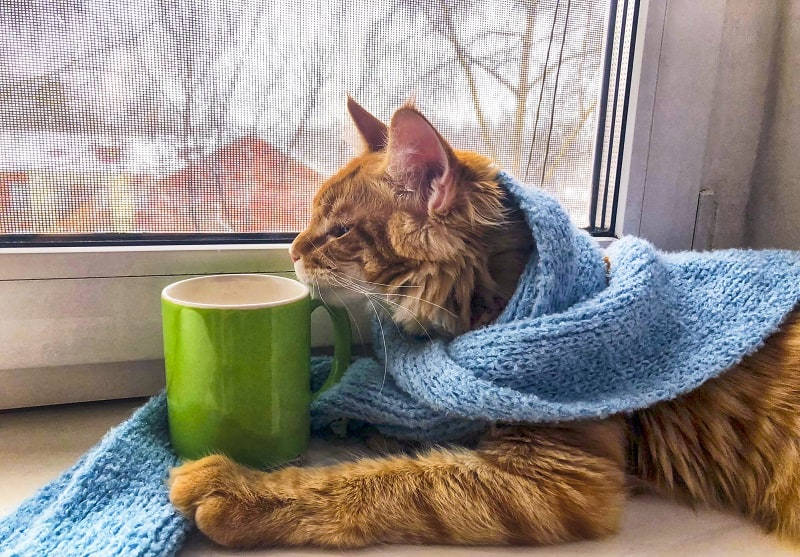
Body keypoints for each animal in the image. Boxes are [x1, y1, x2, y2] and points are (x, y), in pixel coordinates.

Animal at [169, 99, 800, 548]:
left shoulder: (557, 475)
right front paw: (368, 423)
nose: (292, 250)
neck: (493, 305)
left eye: (339, 230)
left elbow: (385, 481)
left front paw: (245, 491)